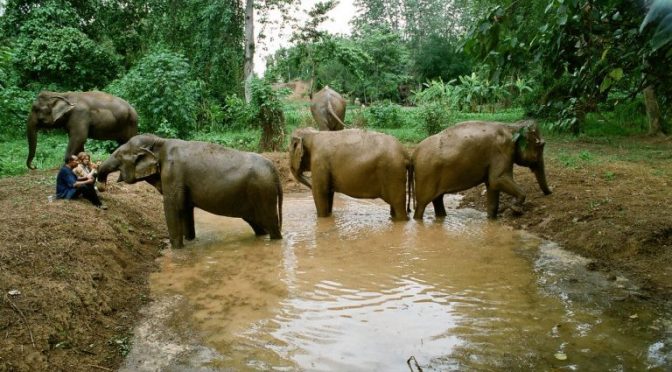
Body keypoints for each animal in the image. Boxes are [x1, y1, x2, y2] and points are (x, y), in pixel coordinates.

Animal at [96, 135, 280, 248]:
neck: (159, 141)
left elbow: (172, 208)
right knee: (258, 225)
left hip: (264, 192)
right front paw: (190, 241)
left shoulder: (172, 174)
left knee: (271, 224)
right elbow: (185, 209)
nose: (100, 184)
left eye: (118, 156)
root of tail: (274, 168)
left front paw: (177, 250)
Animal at [414, 119, 552, 219]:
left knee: (438, 199)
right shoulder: (502, 151)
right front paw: (515, 209)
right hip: (425, 174)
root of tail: (414, 152)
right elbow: (497, 179)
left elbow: (492, 186)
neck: (512, 127)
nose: (549, 193)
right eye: (540, 145)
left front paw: (492, 219)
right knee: (421, 205)